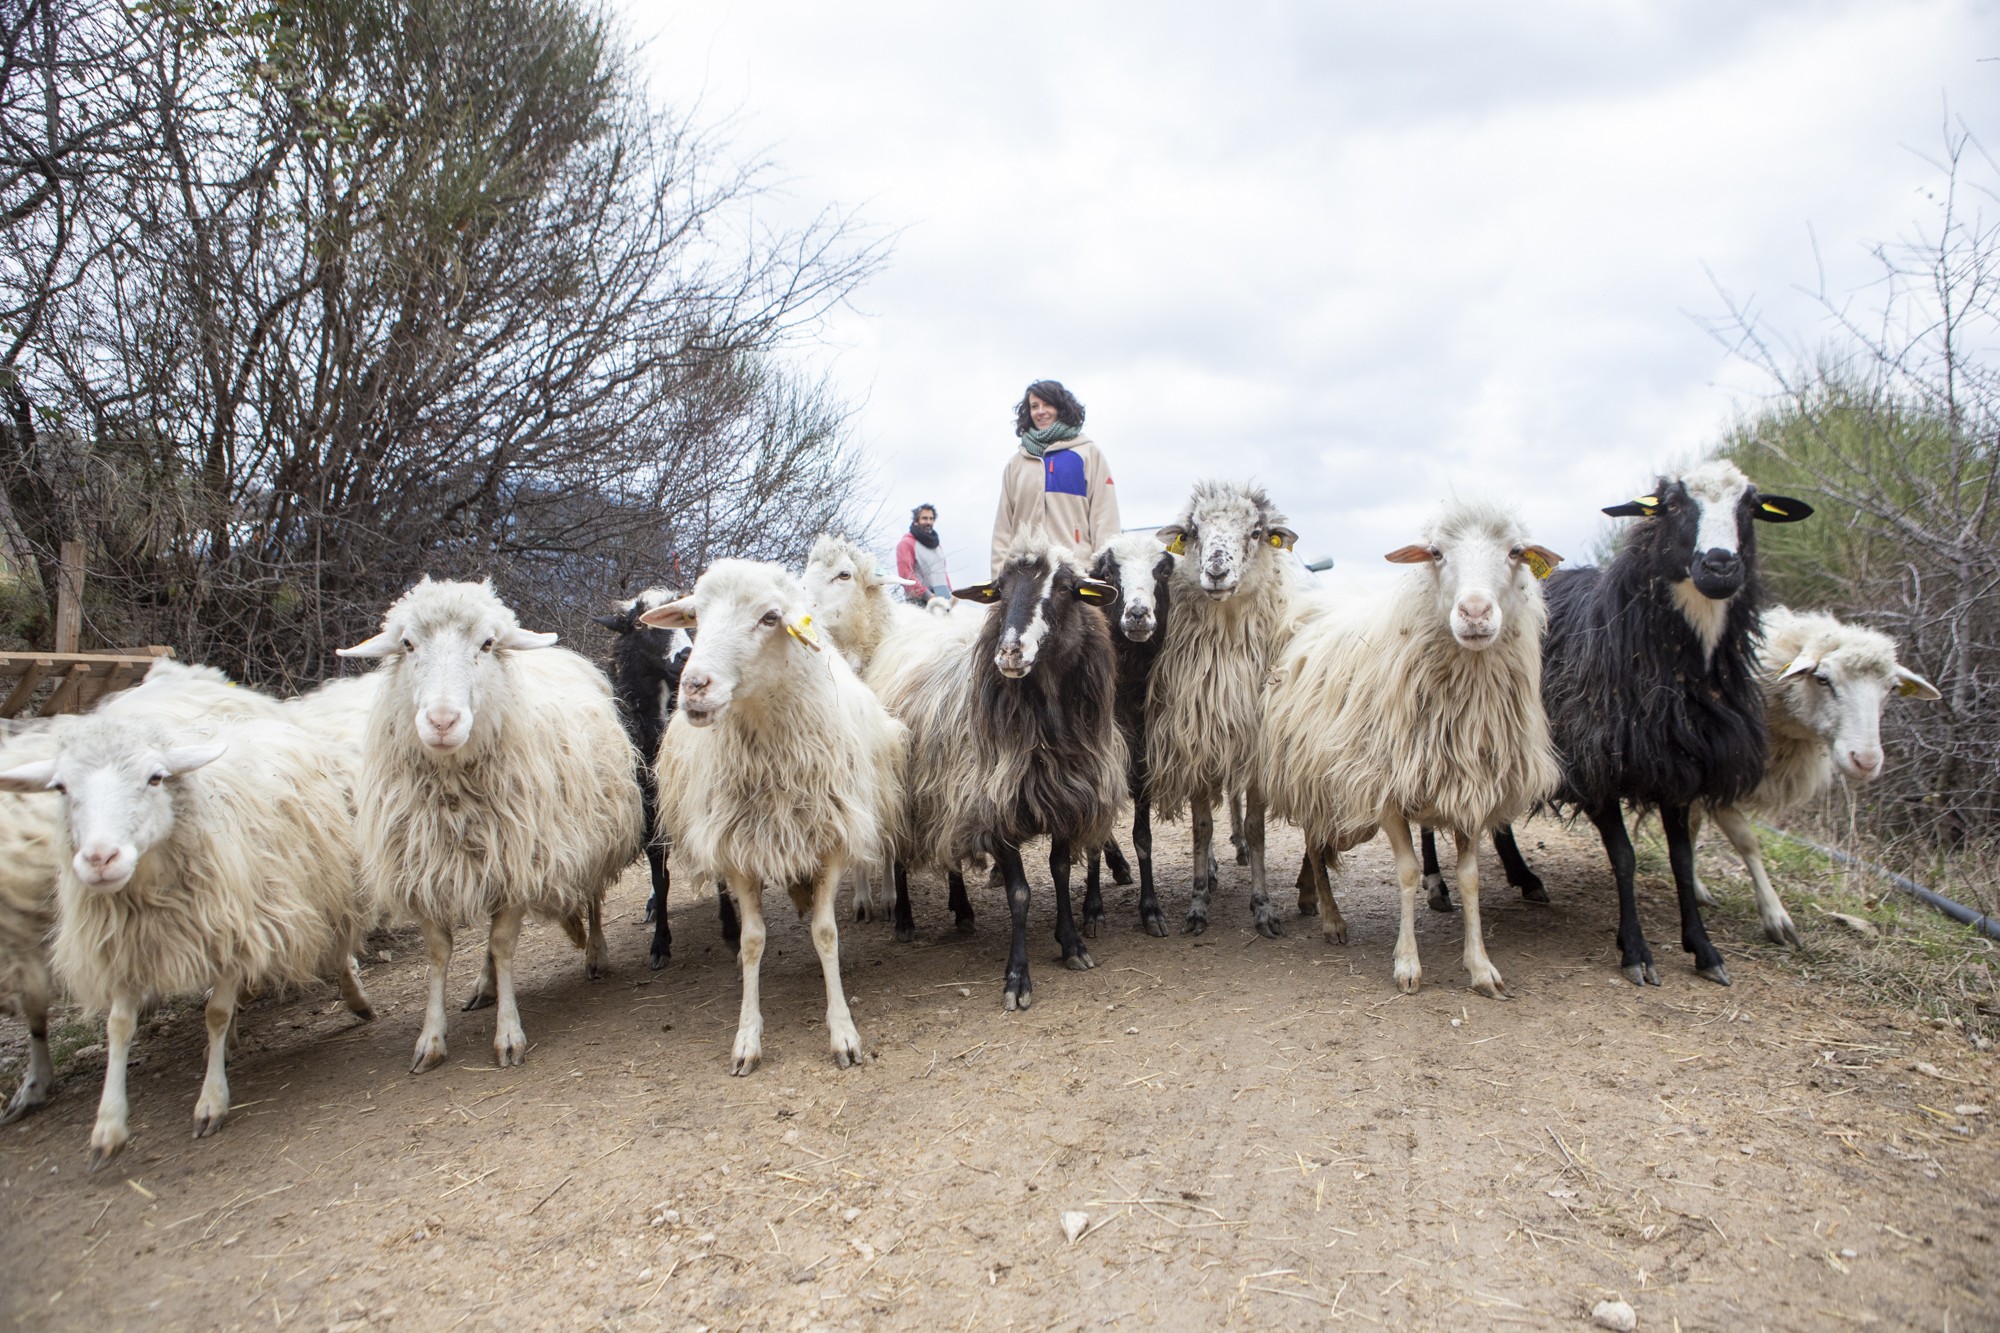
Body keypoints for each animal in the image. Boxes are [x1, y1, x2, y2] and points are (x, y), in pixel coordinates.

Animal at [334, 572, 632, 1072]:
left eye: (487, 643)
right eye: (408, 644)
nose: (442, 720)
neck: (454, 792)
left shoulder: (517, 861)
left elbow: (504, 945)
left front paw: (509, 1034)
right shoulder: (427, 869)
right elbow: (441, 954)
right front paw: (431, 1038)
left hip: (593, 829)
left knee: (590, 894)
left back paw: (593, 951)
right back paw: (486, 985)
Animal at [640, 556, 908, 1072]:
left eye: (769, 617)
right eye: (695, 616)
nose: (694, 687)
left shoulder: (832, 839)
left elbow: (826, 933)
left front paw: (843, 1033)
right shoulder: (737, 850)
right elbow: (751, 942)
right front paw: (747, 1038)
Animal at [1152, 480, 1304, 932]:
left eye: (1256, 532)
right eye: (1193, 532)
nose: (1216, 572)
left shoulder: (1254, 748)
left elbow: (1256, 828)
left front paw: (1263, 904)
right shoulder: (1197, 743)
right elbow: (1201, 829)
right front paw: (1198, 901)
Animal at [1688, 608, 1936, 940]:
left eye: (1892, 688)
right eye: (1822, 679)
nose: (1866, 761)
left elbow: (1701, 832)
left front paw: (1695, 886)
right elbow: (1745, 840)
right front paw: (1775, 915)